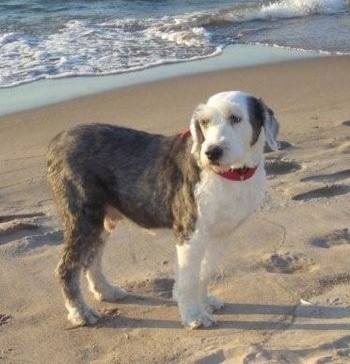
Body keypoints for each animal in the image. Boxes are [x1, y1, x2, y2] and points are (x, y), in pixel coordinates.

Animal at [46, 91, 278, 330]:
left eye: (236, 118)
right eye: (204, 122)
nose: (211, 152)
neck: (230, 174)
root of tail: (58, 140)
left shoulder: (223, 234)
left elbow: (205, 271)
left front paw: (205, 301)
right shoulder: (191, 231)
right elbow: (188, 278)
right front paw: (194, 315)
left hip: (101, 219)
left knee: (91, 259)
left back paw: (106, 291)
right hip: (83, 216)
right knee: (67, 268)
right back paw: (81, 313)